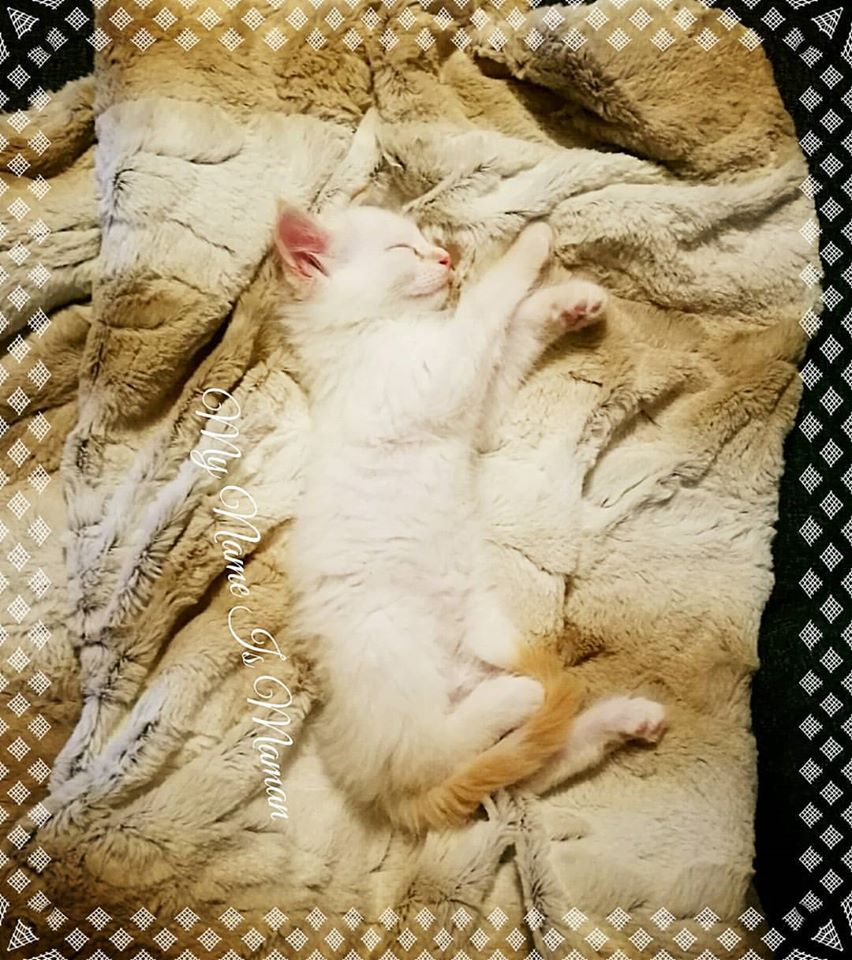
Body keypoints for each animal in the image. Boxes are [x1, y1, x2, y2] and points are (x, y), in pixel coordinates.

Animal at [275, 204, 665, 833]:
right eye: (402, 250)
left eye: (424, 241)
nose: (444, 258)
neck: (371, 336)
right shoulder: (433, 373)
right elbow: (485, 306)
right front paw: (531, 244)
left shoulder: (472, 400)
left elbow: (505, 341)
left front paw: (564, 302)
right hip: (391, 648)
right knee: (428, 751)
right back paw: (514, 700)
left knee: (524, 772)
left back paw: (617, 719)